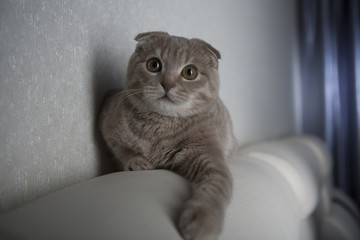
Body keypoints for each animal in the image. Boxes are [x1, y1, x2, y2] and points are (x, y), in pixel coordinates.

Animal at [100, 31, 238, 240]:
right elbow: (121, 148)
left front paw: (204, 219)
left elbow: (216, 184)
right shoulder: (108, 119)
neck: (161, 126)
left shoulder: (209, 155)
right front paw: (136, 161)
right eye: (154, 64)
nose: (167, 84)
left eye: (190, 72)